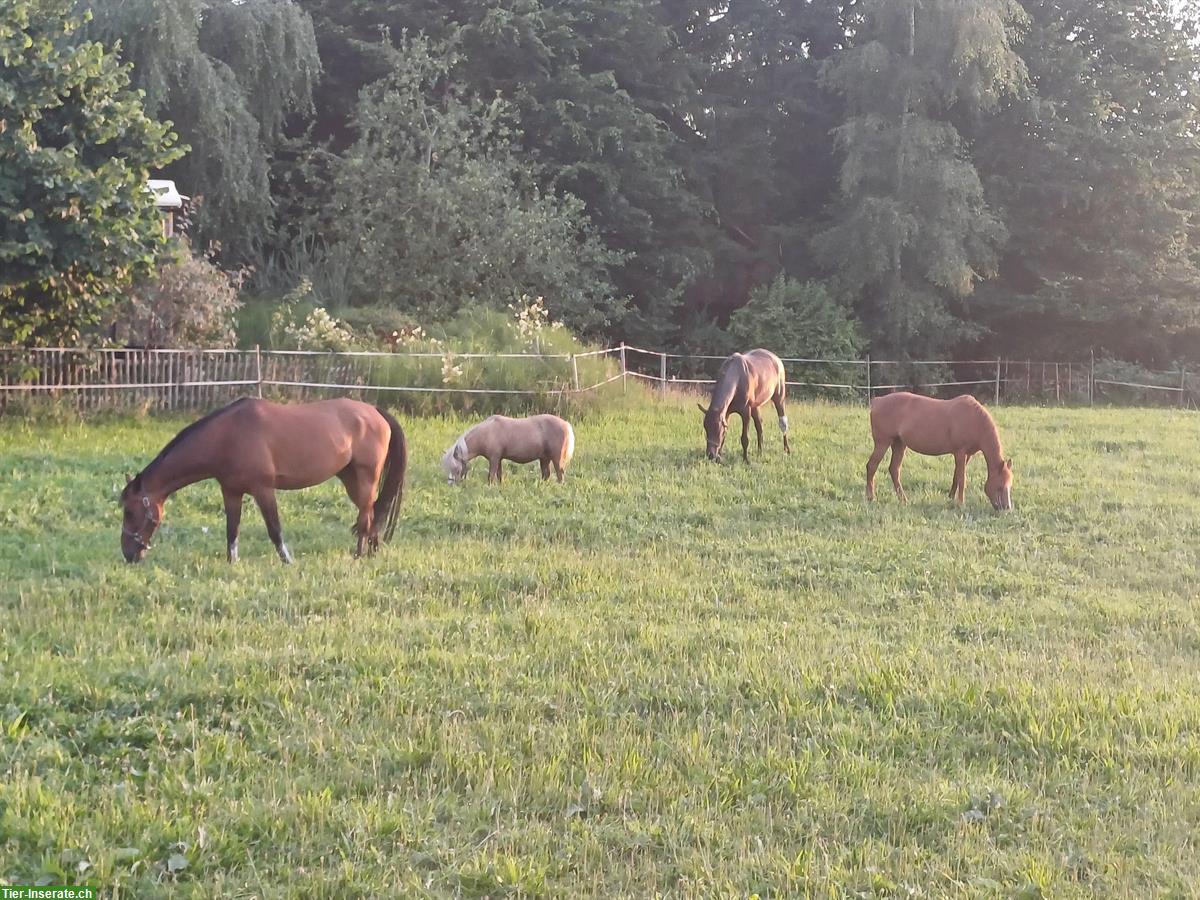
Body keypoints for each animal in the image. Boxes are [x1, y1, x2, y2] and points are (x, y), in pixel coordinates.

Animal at [120, 396, 408, 561]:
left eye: (130, 512)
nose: (128, 554)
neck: (228, 436)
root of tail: (375, 411)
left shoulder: (263, 489)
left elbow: (274, 529)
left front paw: (287, 562)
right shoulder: (231, 491)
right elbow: (232, 529)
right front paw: (232, 563)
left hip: (366, 478)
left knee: (365, 517)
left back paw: (359, 556)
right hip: (350, 479)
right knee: (372, 513)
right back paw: (371, 553)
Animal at [444, 415, 573, 487]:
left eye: (455, 468)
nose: (450, 484)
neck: (488, 432)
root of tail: (566, 424)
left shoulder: (494, 459)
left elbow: (491, 475)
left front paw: (489, 487)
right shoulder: (499, 459)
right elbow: (499, 474)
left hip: (556, 459)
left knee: (560, 474)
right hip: (545, 459)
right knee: (546, 474)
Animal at [864, 393, 1012, 511]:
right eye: (1000, 486)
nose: (1006, 509)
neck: (974, 420)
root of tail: (877, 401)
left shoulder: (967, 455)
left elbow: (956, 476)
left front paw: (951, 498)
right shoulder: (960, 452)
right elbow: (962, 478)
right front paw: (961, 503)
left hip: (899, 444)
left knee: (894, 469)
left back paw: (903, 500)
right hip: (883, 443)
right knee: (872, 466)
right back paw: (871, 498)